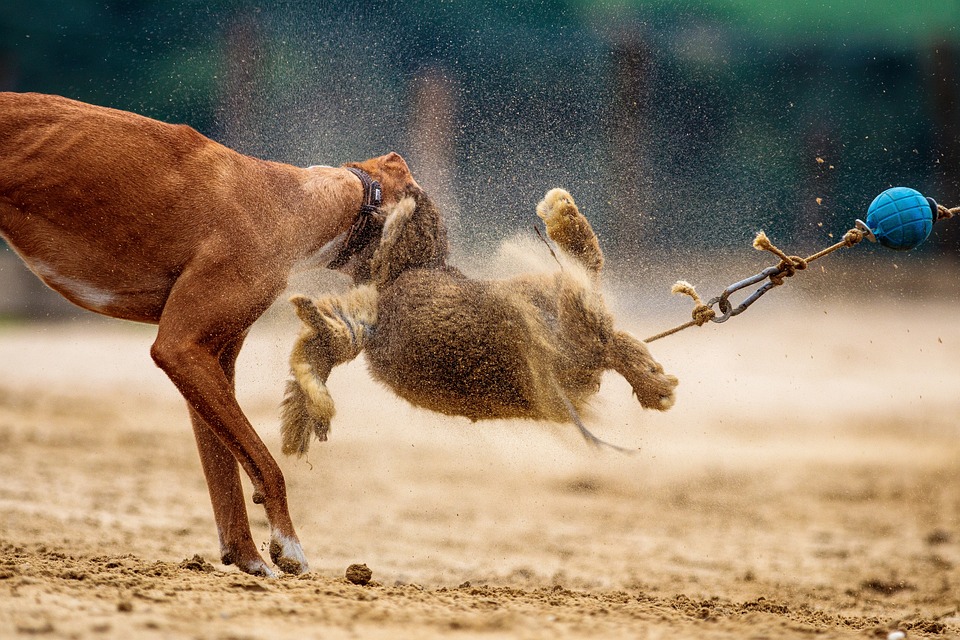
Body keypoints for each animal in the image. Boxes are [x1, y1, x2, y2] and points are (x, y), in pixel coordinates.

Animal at [0, 92, 420, 576]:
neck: (293, 203)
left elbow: (227, 475)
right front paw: (288, 546)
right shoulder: (180, 349)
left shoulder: (208, 361)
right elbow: (266, 464)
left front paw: (249, 558)